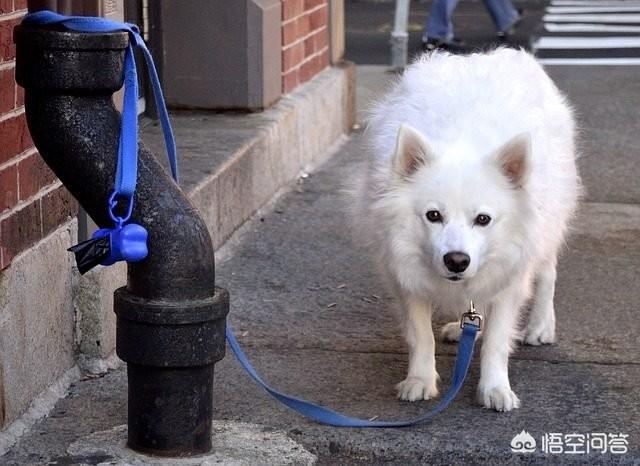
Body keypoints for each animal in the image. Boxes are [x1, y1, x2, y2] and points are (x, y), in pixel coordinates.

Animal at [356, 48, 580, 412]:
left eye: (483, 219)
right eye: (433, 216)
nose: (457, 261)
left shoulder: (510, 278)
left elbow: (497, 342)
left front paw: (495, 388)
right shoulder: (405, 275)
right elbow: (421, 335)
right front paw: (420, 380)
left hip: (549, 225)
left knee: (547, 272)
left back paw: (540, 326)